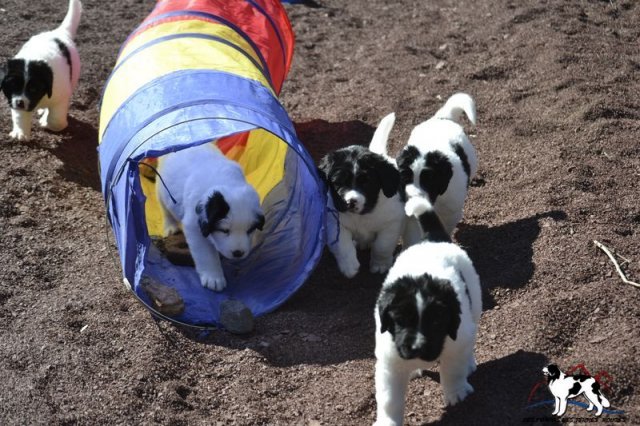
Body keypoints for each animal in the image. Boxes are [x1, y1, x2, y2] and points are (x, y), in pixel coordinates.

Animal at [0, 0, 82, 141]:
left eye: (34, 89)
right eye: (13, 85)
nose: (20, 103)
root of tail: (59, 32)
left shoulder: (61, 95)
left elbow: (56, 120)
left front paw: (46, 122)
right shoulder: (14, 98)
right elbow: (20, 116)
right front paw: (21, 133)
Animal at [156, 143, 265, 291]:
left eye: (250, 230)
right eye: (224, 230)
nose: (238, 253)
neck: (225, 182)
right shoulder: (194, 226)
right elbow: (206, 253)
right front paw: (214, 278)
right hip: (162, 190)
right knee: (165, 209)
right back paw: (171, 227)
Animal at [318, 113, 403, 278]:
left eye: (366, 183)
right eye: (338, 183)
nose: (350, 202)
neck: (362, 216)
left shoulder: (392, 223)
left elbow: (382, 246)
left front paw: (380, 265)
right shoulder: (335, 223)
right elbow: (342, 245)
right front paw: (349, 266)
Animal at [374, 196, 482, 425]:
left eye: (436, 322)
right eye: (400, 320)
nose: (417, 347)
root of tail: (432, 239)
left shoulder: (456, 342)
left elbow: (452, 369)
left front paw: (456, 392)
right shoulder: (389, 361)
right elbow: (389, 399)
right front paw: (388, 421)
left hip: (474, 306)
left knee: (471, 335)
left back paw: (469, 363)